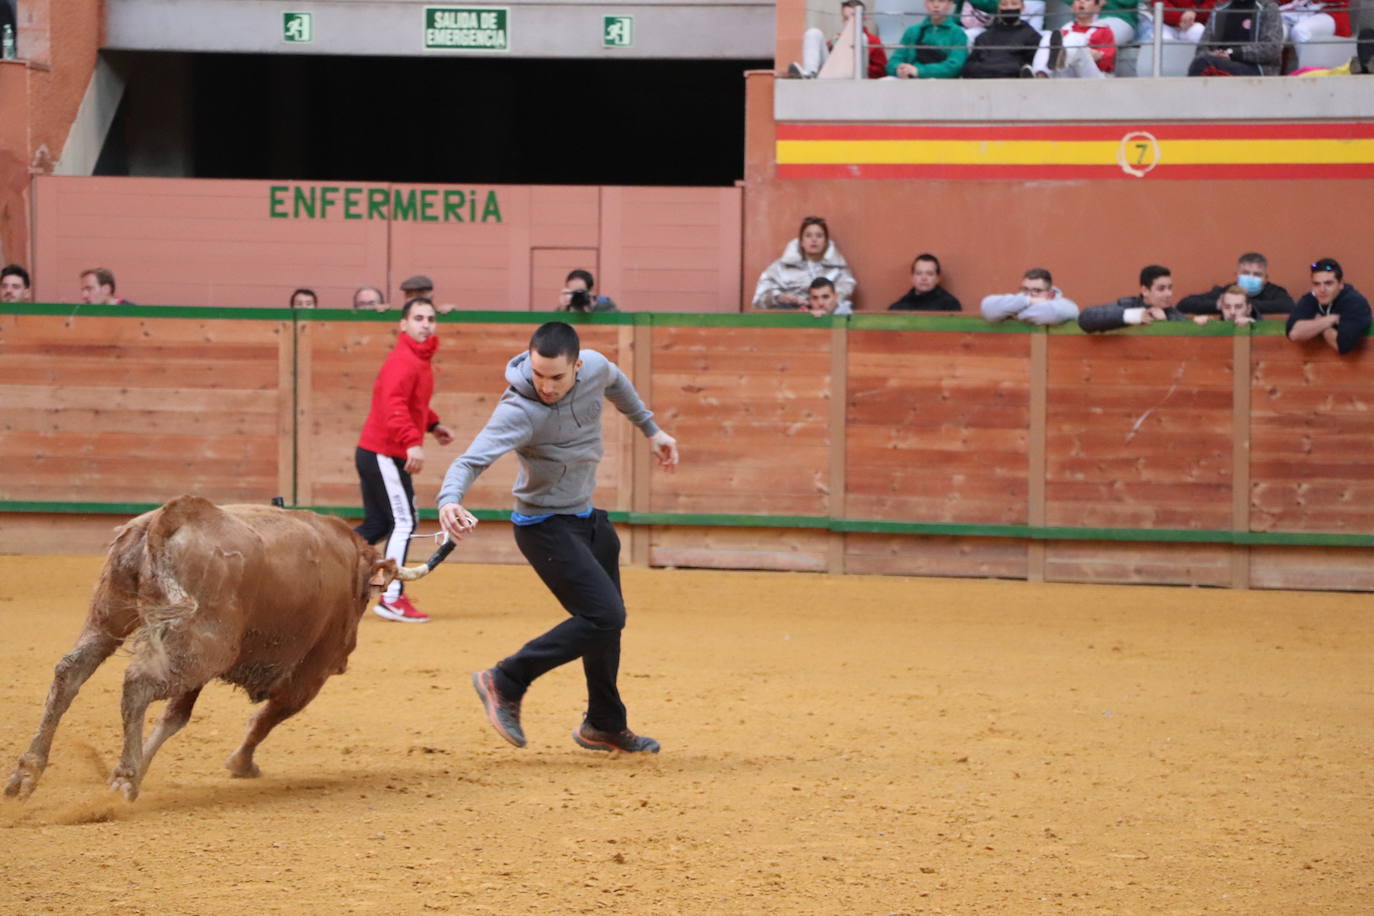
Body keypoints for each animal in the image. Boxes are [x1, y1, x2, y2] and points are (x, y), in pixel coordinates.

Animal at [1, 494, 439, 802]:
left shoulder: (199, 666)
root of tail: (172, 516)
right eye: (365, 597)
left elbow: (175, 717)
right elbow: (266, 718)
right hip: (203, 647)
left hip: (119, 621)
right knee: (137, 684)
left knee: (69, 673)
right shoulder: (308, 675)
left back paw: (27, 773)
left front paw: (144, 765)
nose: (348, 654)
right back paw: (123, 780)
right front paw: (240, 764)